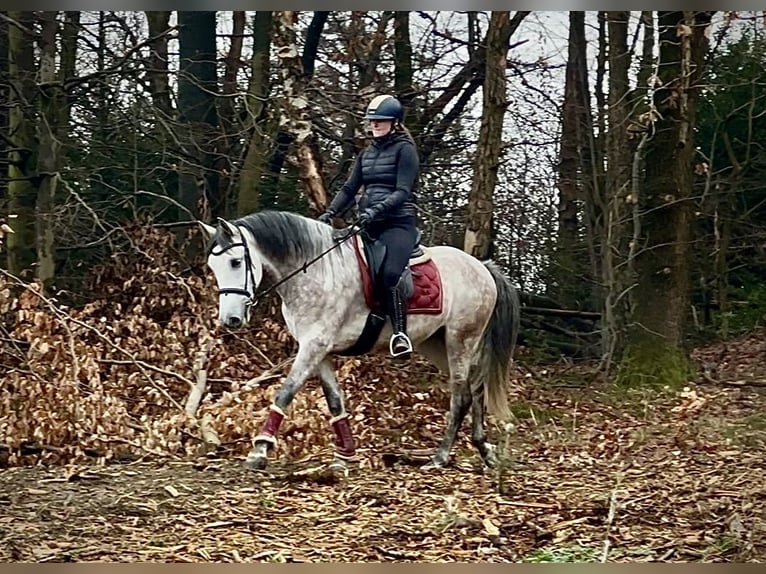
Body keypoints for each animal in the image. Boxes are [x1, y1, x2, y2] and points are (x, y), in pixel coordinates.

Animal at [198, 210, 521, 473]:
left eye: (236, 262)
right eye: (213, 268)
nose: (230, 320)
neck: (316, 271)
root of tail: (482, 267)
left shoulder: (313, 346)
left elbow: (284, 393)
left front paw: (260, 449)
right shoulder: (320, 351)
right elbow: (334, 402)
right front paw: (345, 455)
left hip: (460, 341)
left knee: (462, 395)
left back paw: (440, 457)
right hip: (438, 344)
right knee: (475, 388)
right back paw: (483, 449)